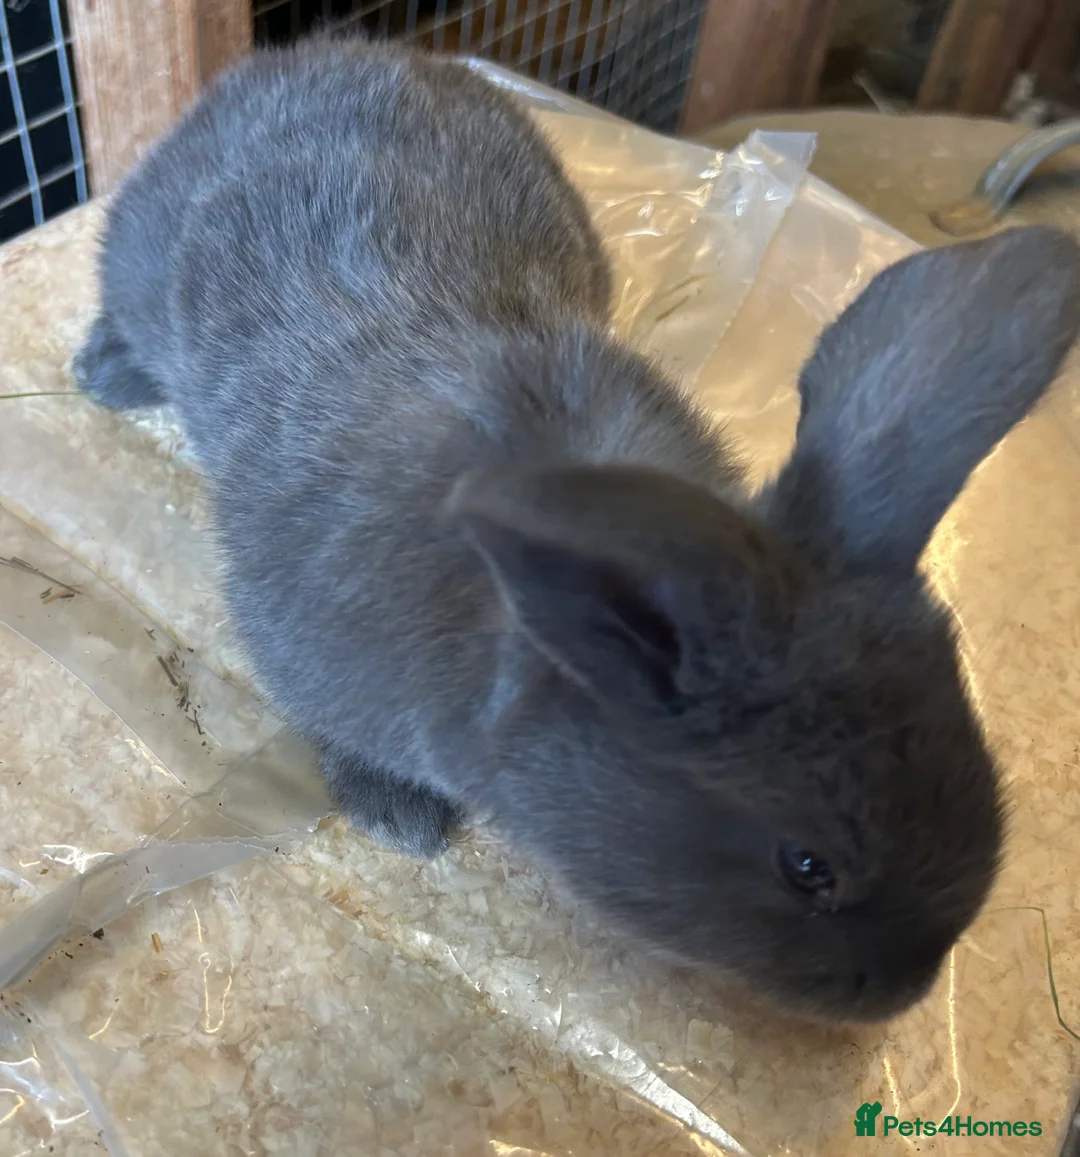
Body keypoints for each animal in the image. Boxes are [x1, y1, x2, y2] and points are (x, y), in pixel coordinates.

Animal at [75, 34, 1080, 1023]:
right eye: (807, 865)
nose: (908, 991)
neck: (524, 641)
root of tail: (318, 53)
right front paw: (398, 816)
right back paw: (102, 373)